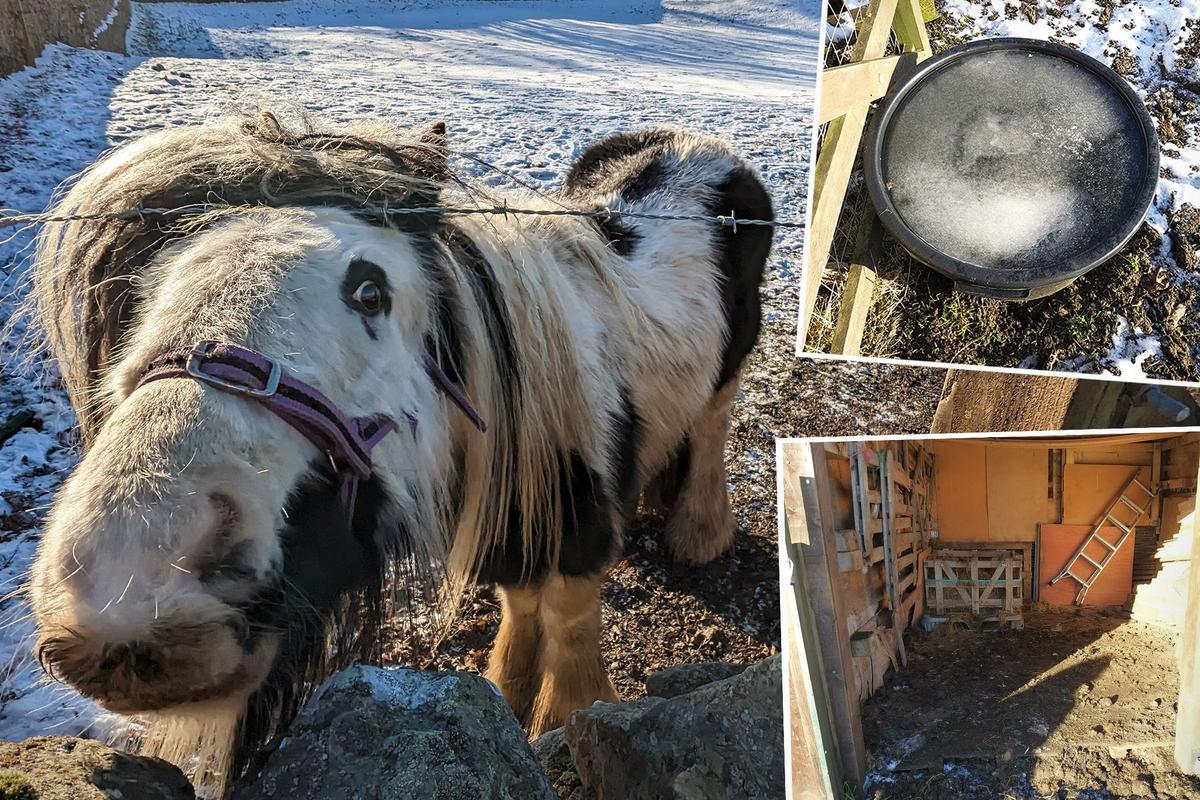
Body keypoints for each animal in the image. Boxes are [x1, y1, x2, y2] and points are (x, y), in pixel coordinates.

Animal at [24, 109, 773, 792]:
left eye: (370, 290)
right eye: (150, 290)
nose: (129, 581)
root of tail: (695, 143)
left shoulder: (579, 532)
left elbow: (567, 618)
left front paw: (561, 717)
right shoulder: (512, 528)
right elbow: (521, 602)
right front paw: (508, 692)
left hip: (731, 365)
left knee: (711, 423)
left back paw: (696, 533)